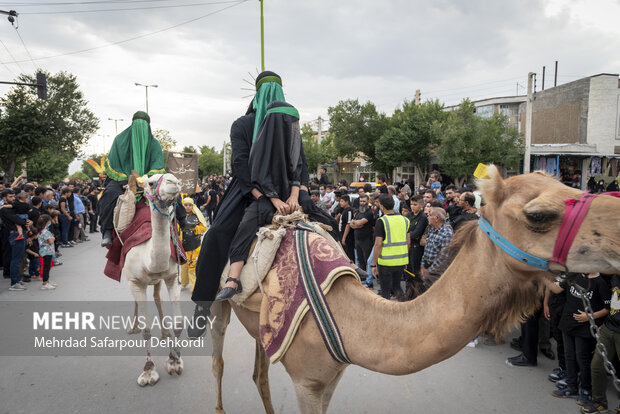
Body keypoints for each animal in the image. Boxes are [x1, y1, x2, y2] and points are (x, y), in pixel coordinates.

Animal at [121, 173, 186, 386]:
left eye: (175, 178)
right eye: (151, 182)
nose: (174, 183)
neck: (148, 259)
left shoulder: (172, 277)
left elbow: (179, 323)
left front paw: (174, 361)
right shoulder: (135, 282)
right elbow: (147, 329)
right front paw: (148, 372)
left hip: (157, 281)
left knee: (157, 297)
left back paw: (165, 333)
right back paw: (132, 327)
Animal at [208, 166, 620, 414]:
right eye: (538, 215)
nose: (616, 235)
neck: (348, 316)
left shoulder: (329, 376)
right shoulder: (307, 381)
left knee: (260, 373)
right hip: (217, 303)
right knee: (219, 358)